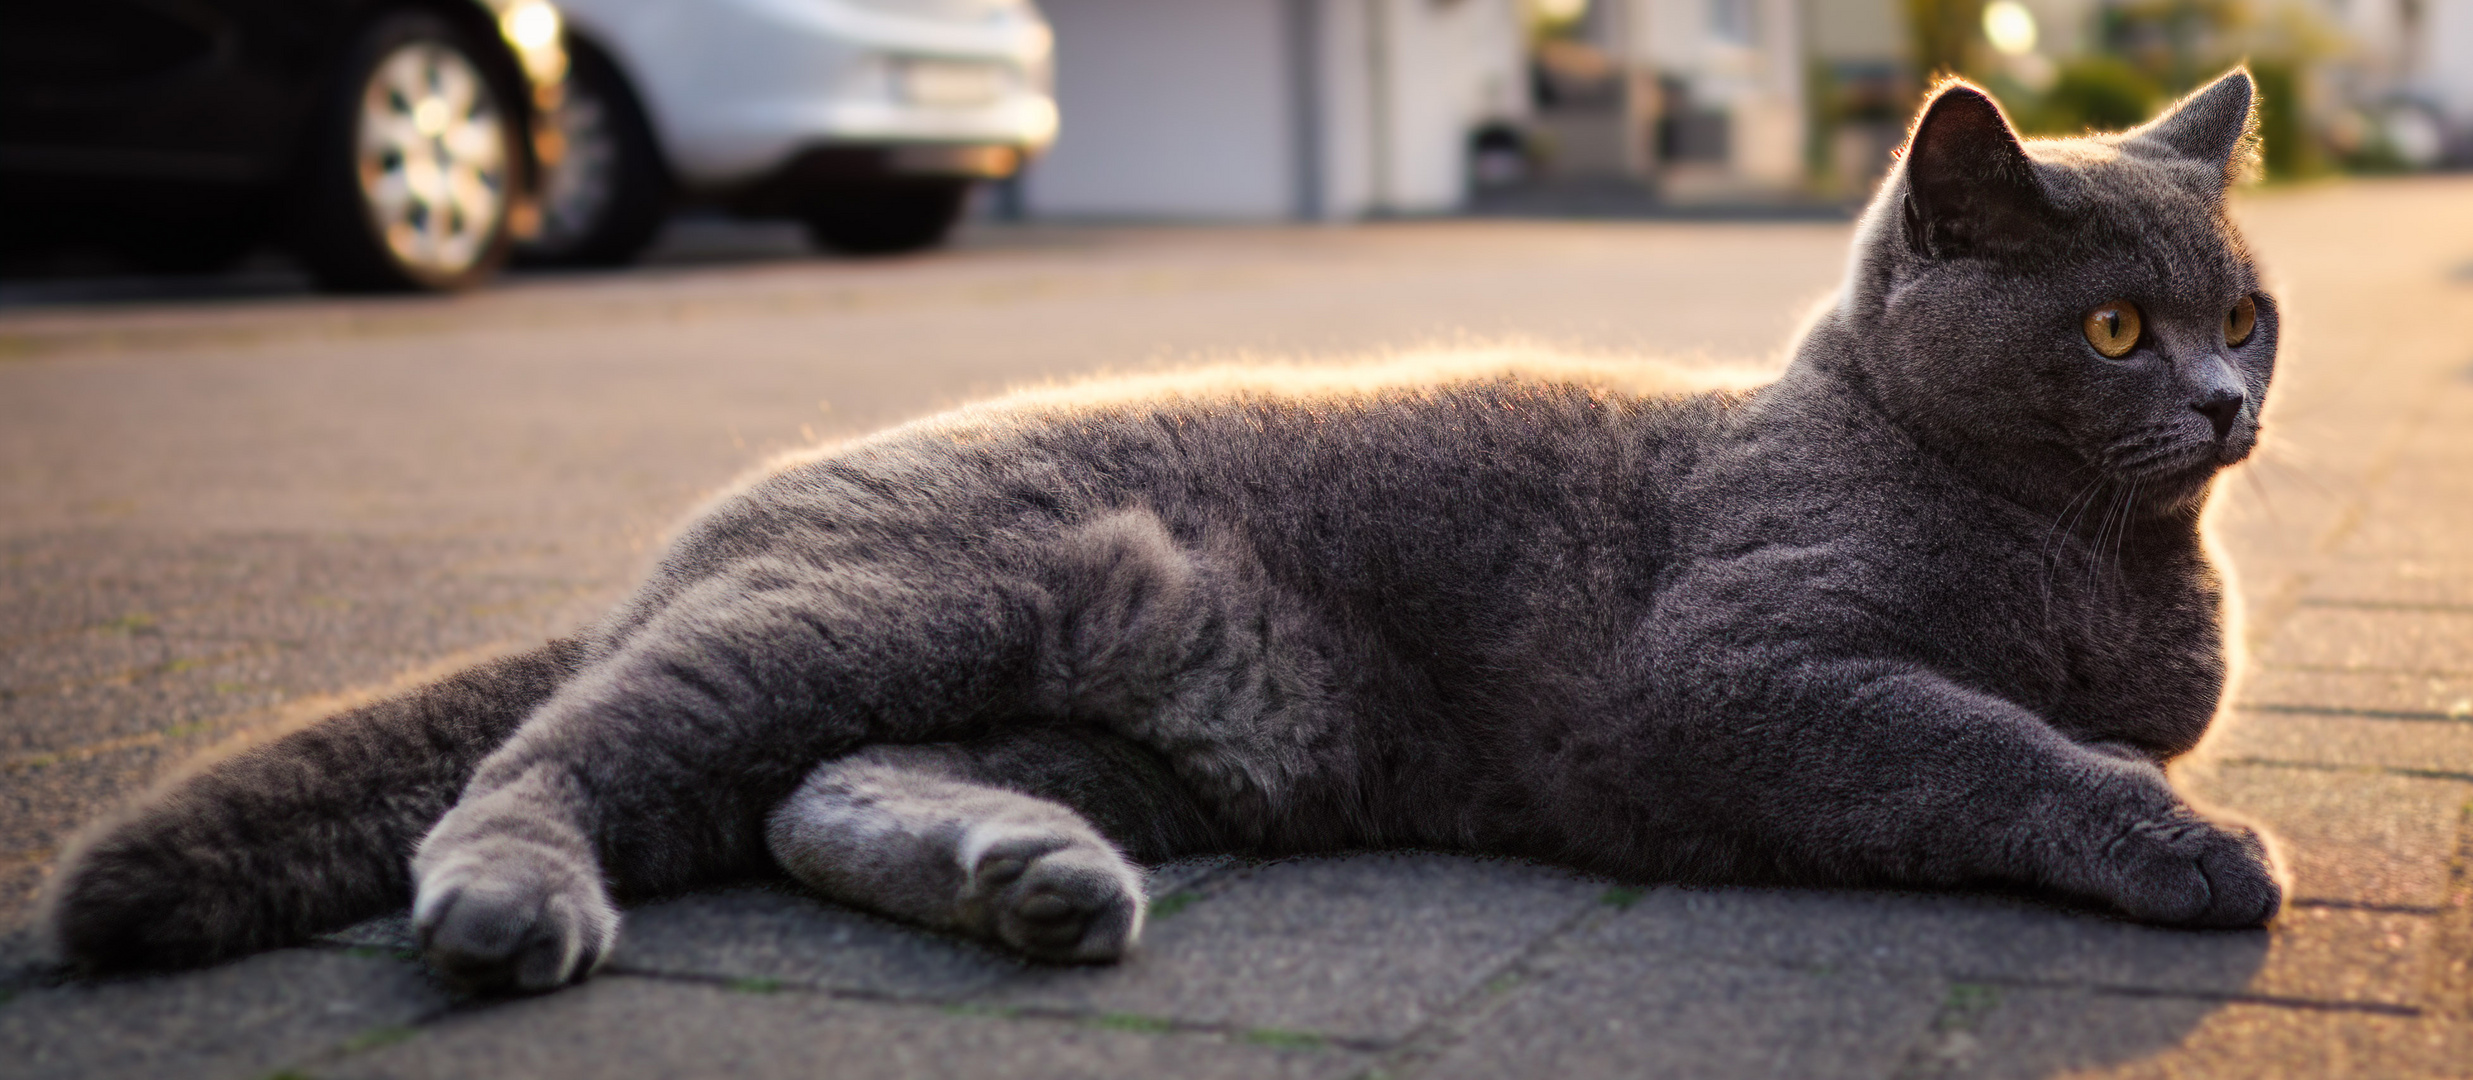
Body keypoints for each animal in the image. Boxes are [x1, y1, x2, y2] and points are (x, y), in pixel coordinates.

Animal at [38, 71, 2285, 988]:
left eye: (2246, 313)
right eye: (2115, 326)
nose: (2226, 399)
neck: (2092, 558)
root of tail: (714, 524)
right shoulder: (1731, 678)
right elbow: (1985, 743)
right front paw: (2184, 845)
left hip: (1120, 728)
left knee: (809, 795)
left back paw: (1031, 882)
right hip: (878, 599)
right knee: (551, 751)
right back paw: (510, 903)